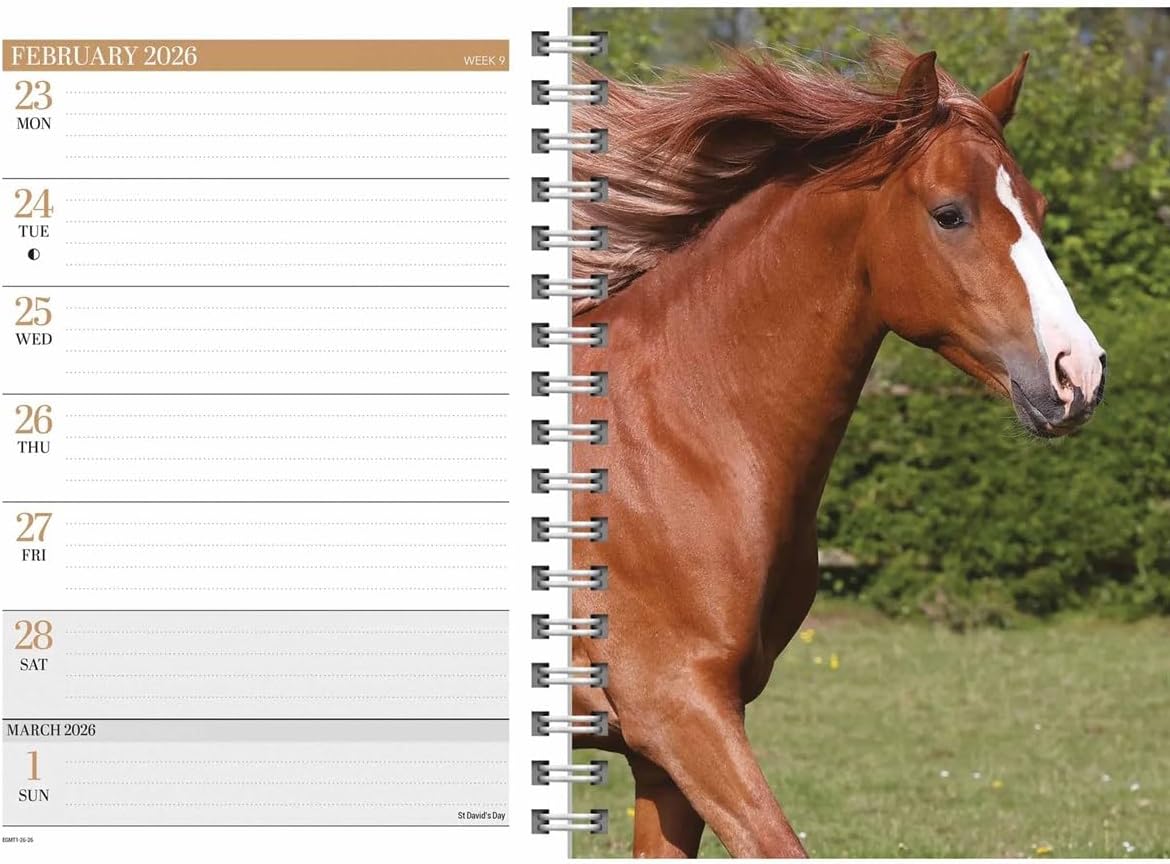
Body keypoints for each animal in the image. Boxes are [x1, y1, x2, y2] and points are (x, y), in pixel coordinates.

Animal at [569, 43, 1106, 858]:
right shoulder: (676, 710)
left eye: (1038, 211)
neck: (671, 443)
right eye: (950, 214)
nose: (1079, 373)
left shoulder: (664, 753)